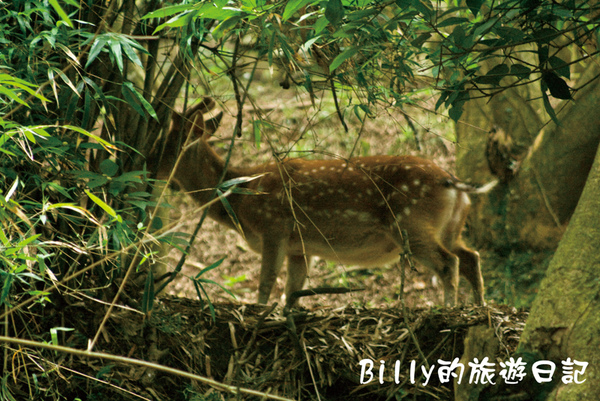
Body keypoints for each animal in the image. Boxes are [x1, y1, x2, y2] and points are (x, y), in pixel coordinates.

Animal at [155, 97, 496, 306]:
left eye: (165, 145)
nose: (148, 162)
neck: (240, 200)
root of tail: (451, 182)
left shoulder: (274, 227)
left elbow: (266, 284)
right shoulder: (299, 246)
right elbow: (292, 293)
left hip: (410, 223)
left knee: (448, 262)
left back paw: (449, 310)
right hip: (449, 227)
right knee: (471, 256)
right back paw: (479, 308)